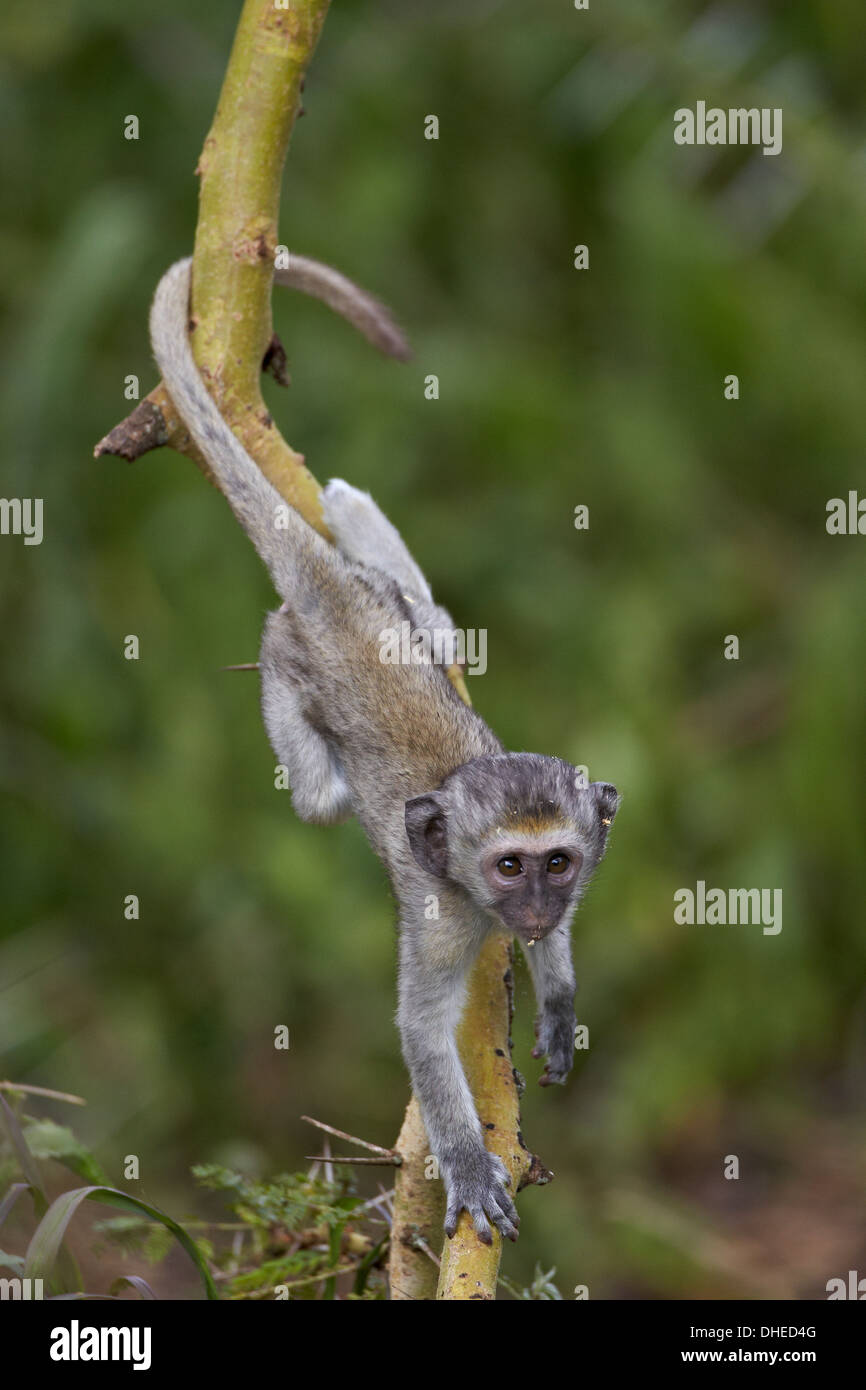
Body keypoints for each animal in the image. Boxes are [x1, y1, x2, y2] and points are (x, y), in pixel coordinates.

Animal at [150, 255, 622, 1245]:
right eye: (510, 867)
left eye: (558, 864)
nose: (533, 913)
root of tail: (332, 597)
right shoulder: (445, 921)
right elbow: (420, 1034)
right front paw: (469, 1166)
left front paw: (557, 995)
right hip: (296, 672)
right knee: (316, 791)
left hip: (391, 607)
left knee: (431, 622)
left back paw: (352, 512)